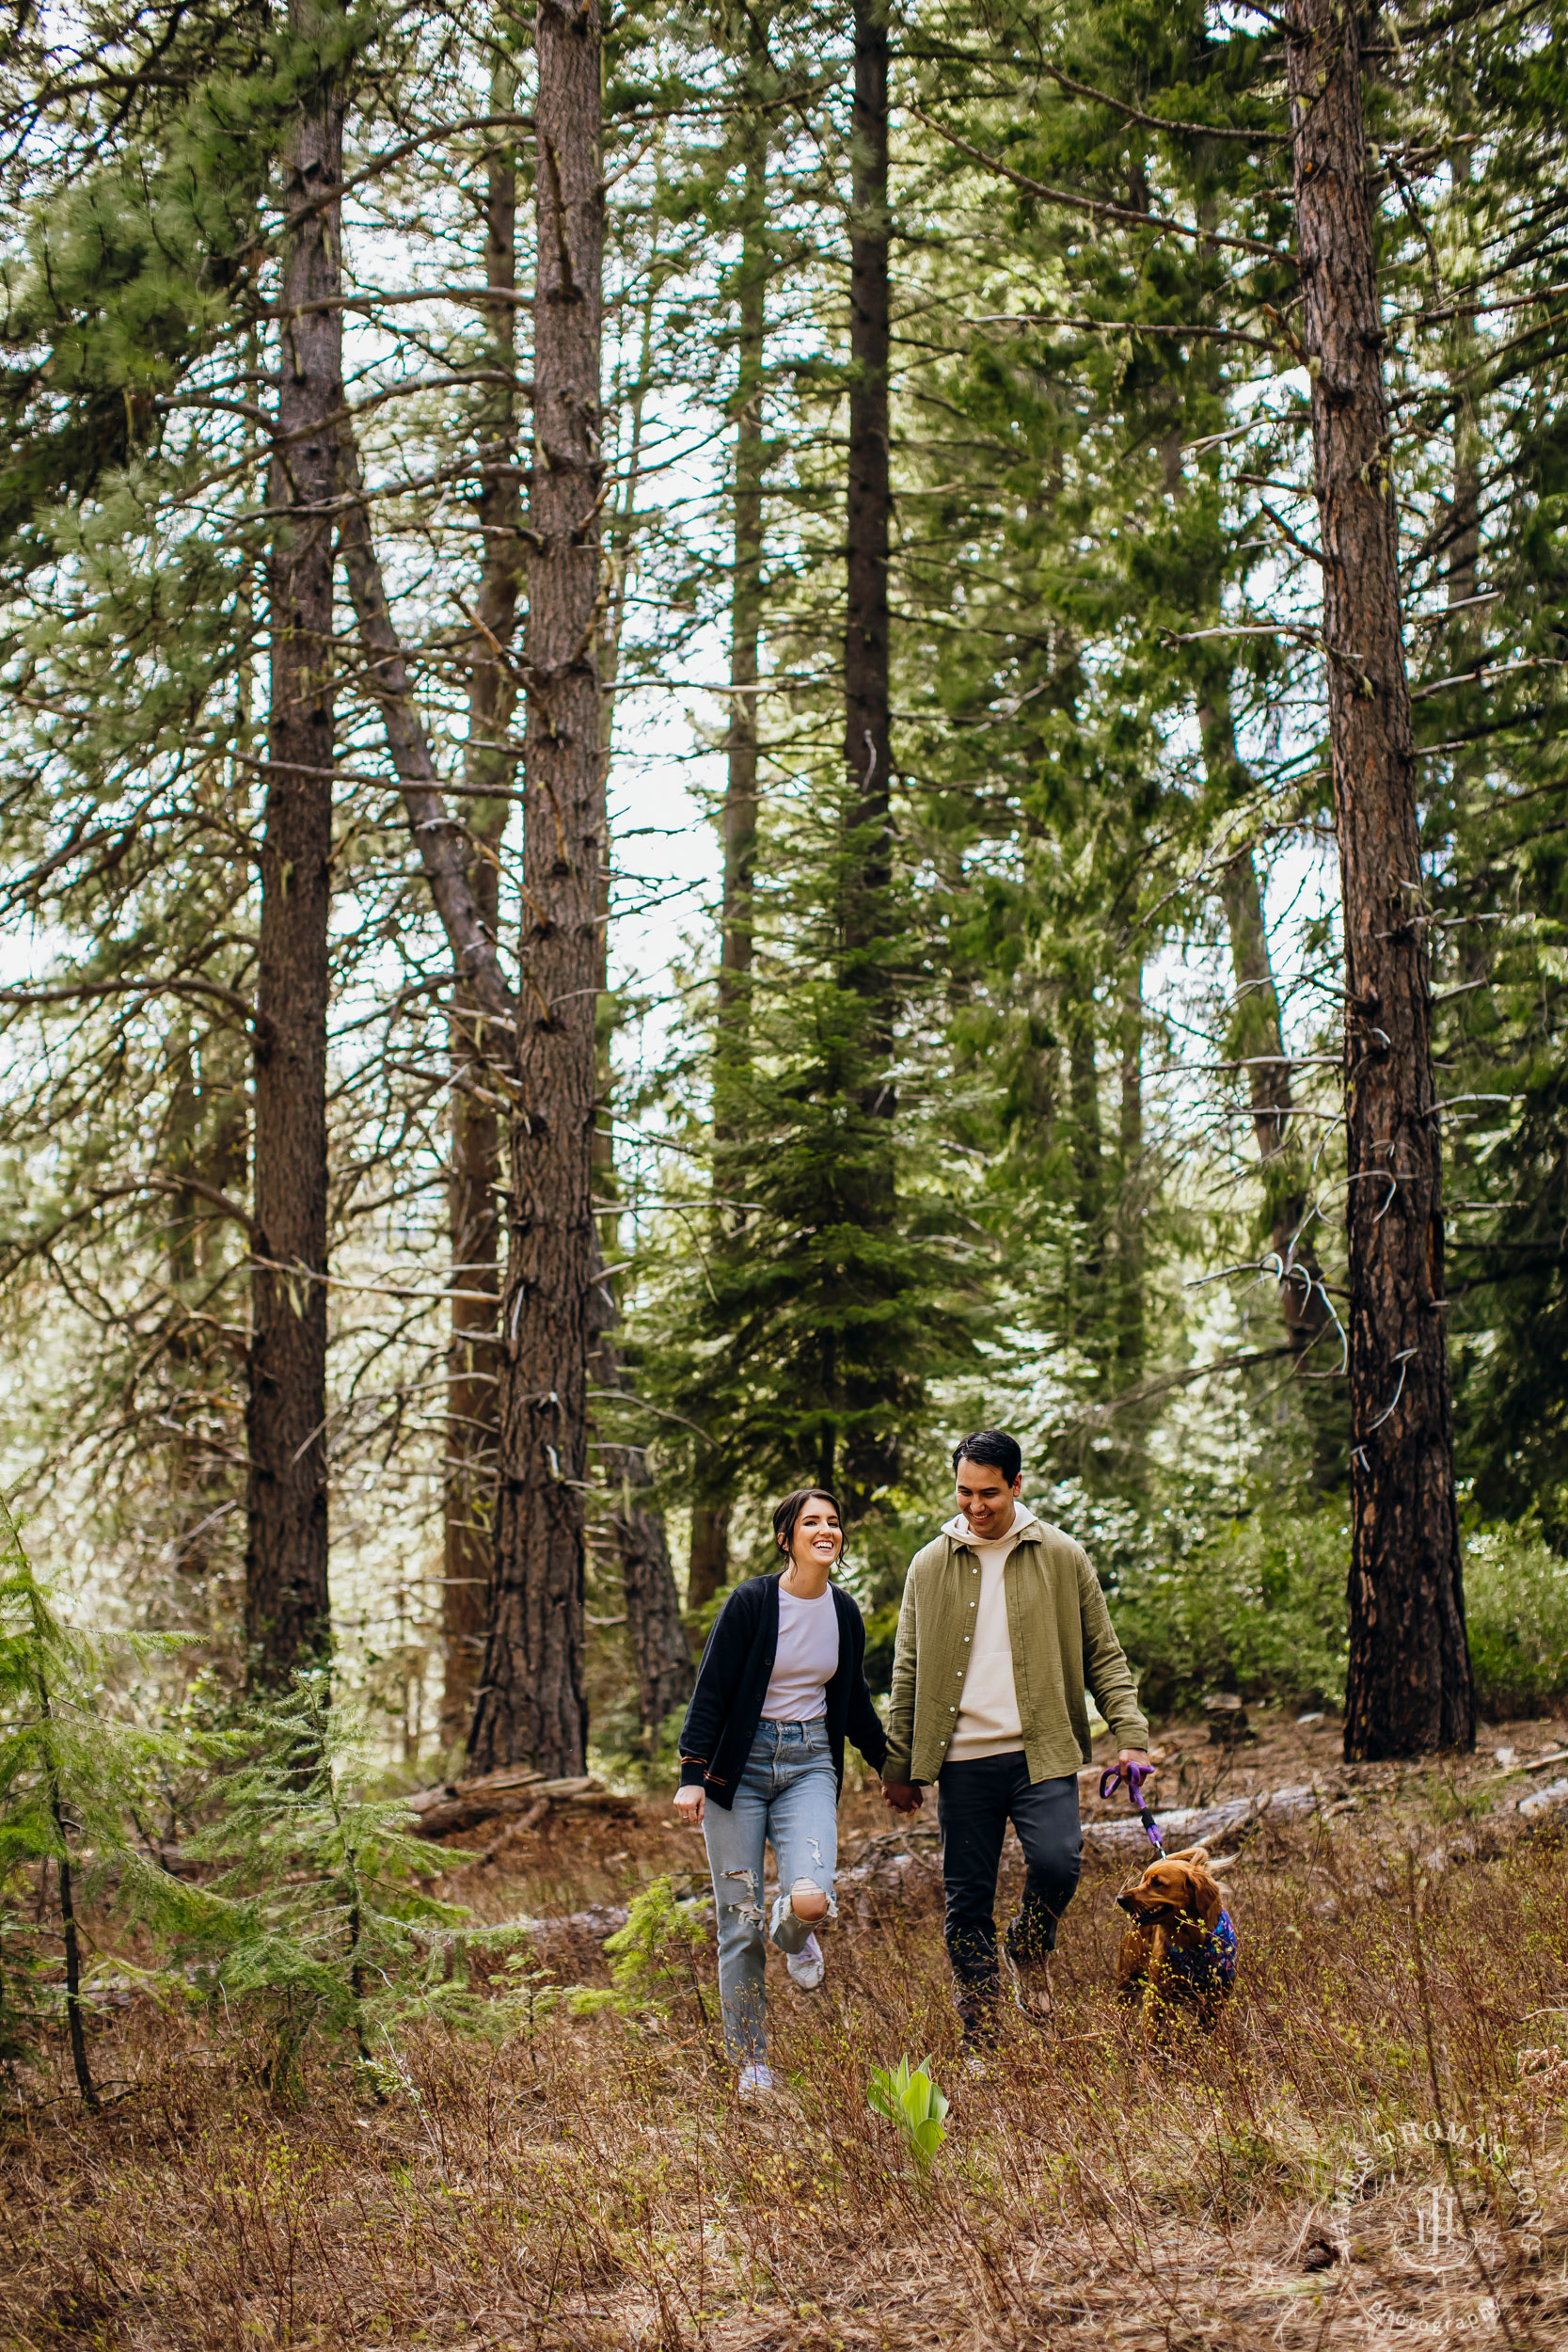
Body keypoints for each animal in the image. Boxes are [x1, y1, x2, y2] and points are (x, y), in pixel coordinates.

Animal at [1114, 1835, 1241, 2042]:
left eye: (1158, 1883)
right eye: (1144, 1879)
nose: (1120, 1898)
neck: (1193, 1943)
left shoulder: (1217, 1995)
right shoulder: (1156, 1992)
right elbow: (1151, 2031)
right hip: (1128, 1978)